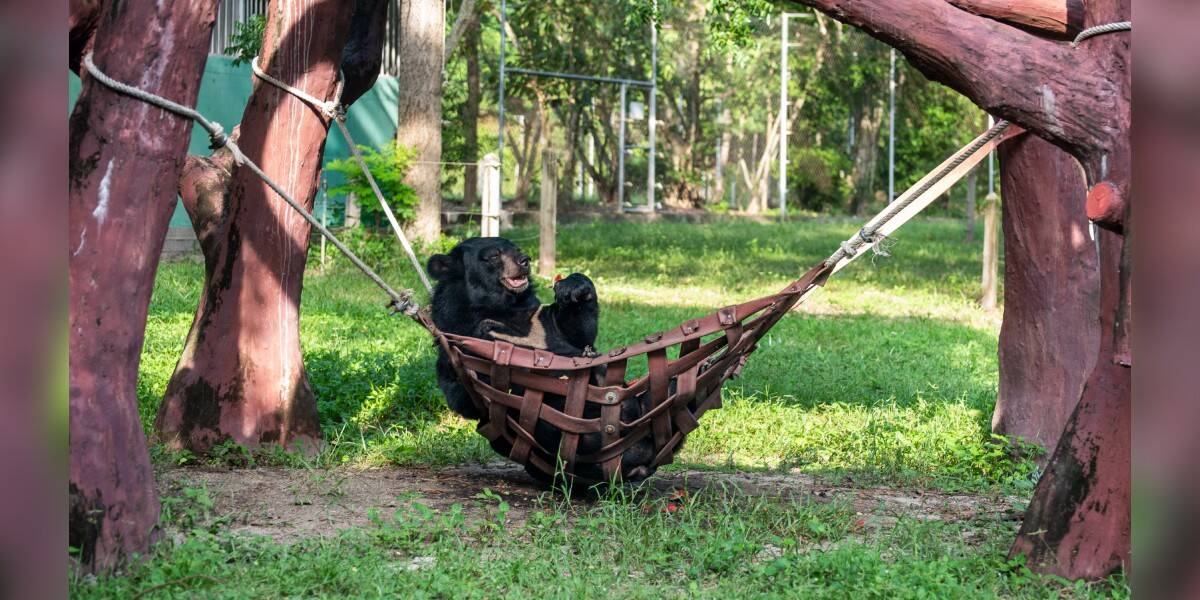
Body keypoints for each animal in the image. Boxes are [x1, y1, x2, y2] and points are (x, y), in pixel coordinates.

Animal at [427, 237, 657, 482]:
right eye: (493, 256)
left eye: (517, 249)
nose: (524, 260)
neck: (502, 306)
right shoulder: (455, 327)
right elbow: (462, 392)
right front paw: (491, 334)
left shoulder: (539, 319)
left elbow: (579, 332)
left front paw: (572, 287)